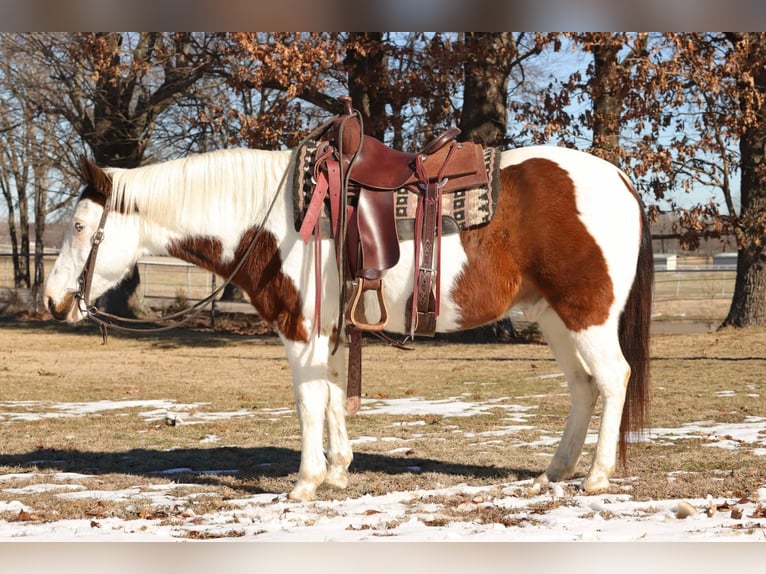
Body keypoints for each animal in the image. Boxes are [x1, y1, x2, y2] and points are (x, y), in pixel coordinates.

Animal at [45, 144, 653, 502]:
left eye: (79, 226)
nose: (52, 300)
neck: (274, 219)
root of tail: (621, 177)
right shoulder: (332, 332)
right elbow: (335, 396)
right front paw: (337, 470)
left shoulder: (301, 328)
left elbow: (308, 401)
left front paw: (306, 482)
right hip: (554, 317)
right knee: (583, 387)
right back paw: (555, 472)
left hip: (587, 314)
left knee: (613, 379)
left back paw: (597, 475)